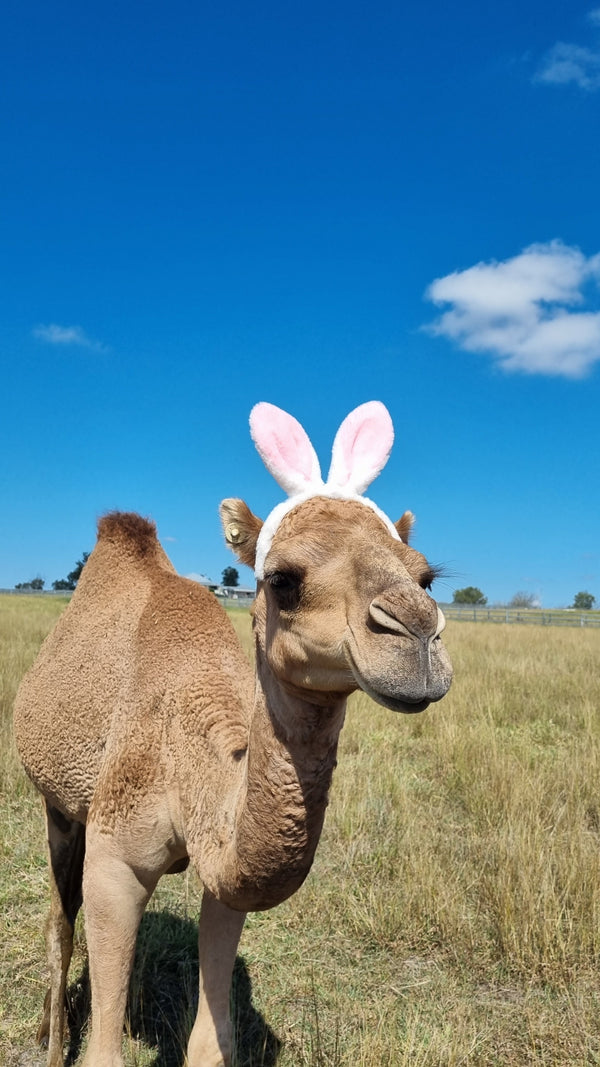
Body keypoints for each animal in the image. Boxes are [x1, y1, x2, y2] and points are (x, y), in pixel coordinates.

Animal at [14, 401, 452, 1067]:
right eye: (283, 579)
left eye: (426, 577)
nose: (419, 638)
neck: (192, 760)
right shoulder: (115, 855)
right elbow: (104, 1046)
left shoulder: (226, 875)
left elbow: (210, 1038)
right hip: (59, 805)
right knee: (61, 919)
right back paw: (49, 1032)